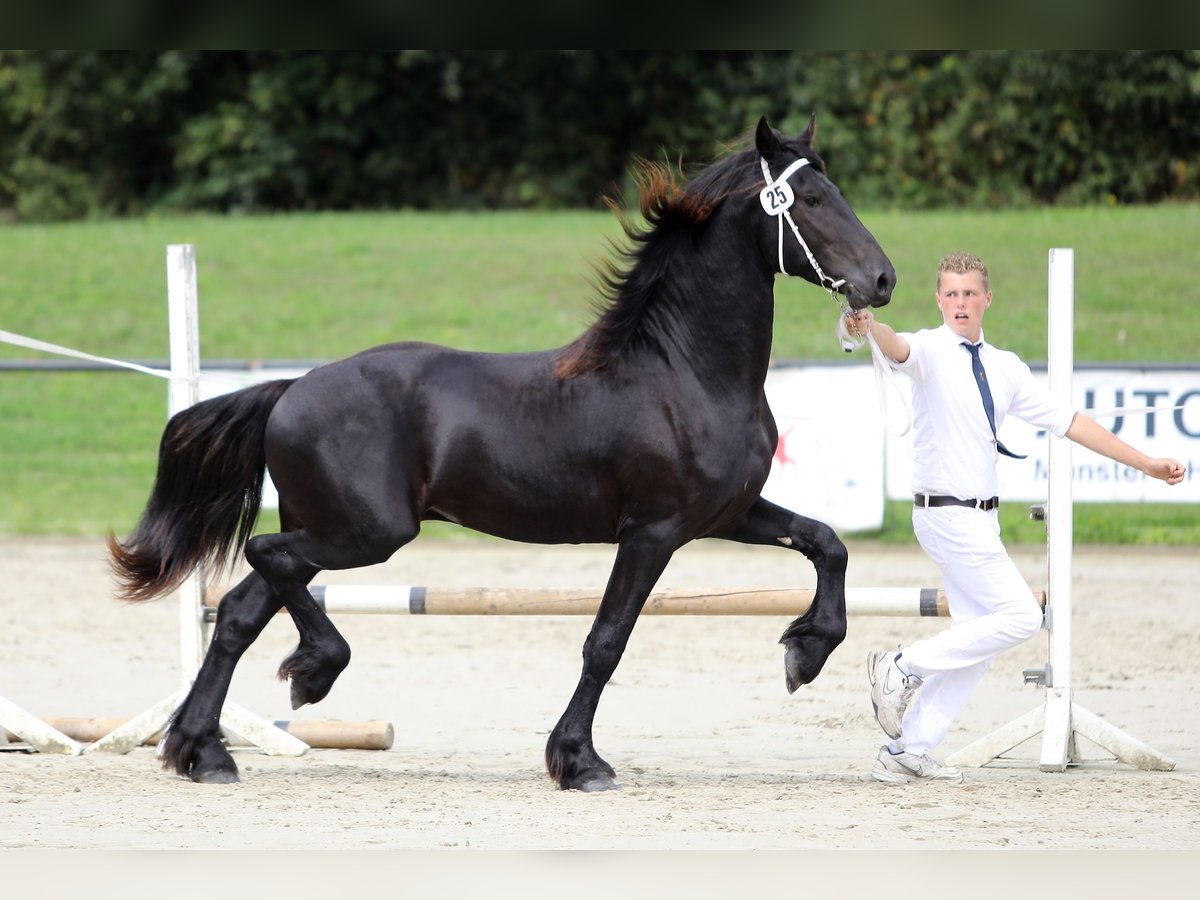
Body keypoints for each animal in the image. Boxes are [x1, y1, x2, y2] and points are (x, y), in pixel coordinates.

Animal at [112, 116, 897, 792]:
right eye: (814, 200)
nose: (883, 279)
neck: (684, 370)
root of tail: (290, 389)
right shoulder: (654, 532)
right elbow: (606, 641)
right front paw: (579, 762)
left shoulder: (728, 514)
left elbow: (827, 543)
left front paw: (805, 651)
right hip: (364, 533)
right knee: (264, 557)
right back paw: (310, 674)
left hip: (330, 530)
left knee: (240, 611)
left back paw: (203, 751)